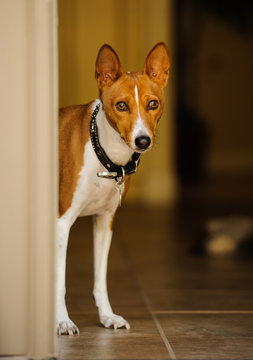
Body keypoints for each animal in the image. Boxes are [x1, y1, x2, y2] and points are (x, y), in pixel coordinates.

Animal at [56, 42, 169, 334]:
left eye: (153, 104)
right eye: (121, 105)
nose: (143, 141)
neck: (104, 154)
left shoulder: (104, 221)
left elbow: (100, 280)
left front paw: (107, 316)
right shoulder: (62, 222)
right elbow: (59, 281)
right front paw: (62, 321)